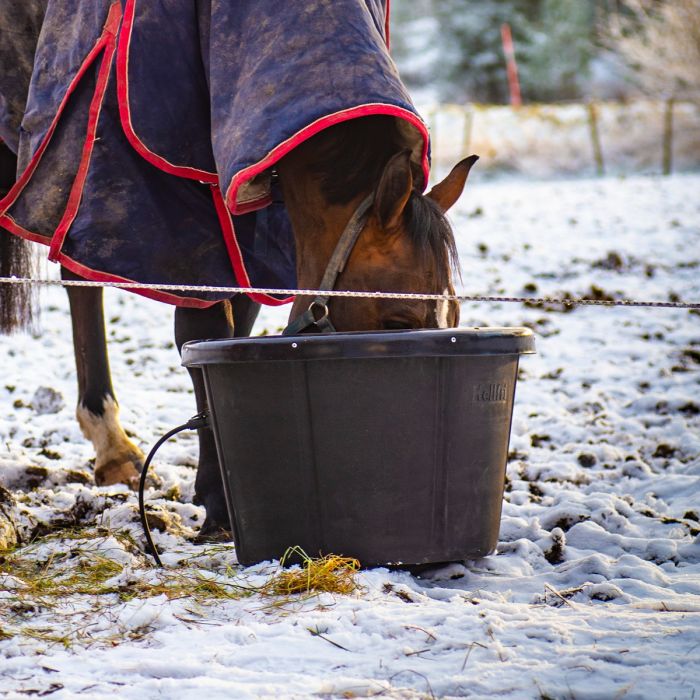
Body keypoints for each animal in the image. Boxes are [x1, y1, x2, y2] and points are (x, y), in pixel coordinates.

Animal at [1, 0, 476, 540]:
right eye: (398, 320)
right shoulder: (170, 196)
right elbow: (199, 328)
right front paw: (217, 500)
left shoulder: (255, 211)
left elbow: (233, 328)